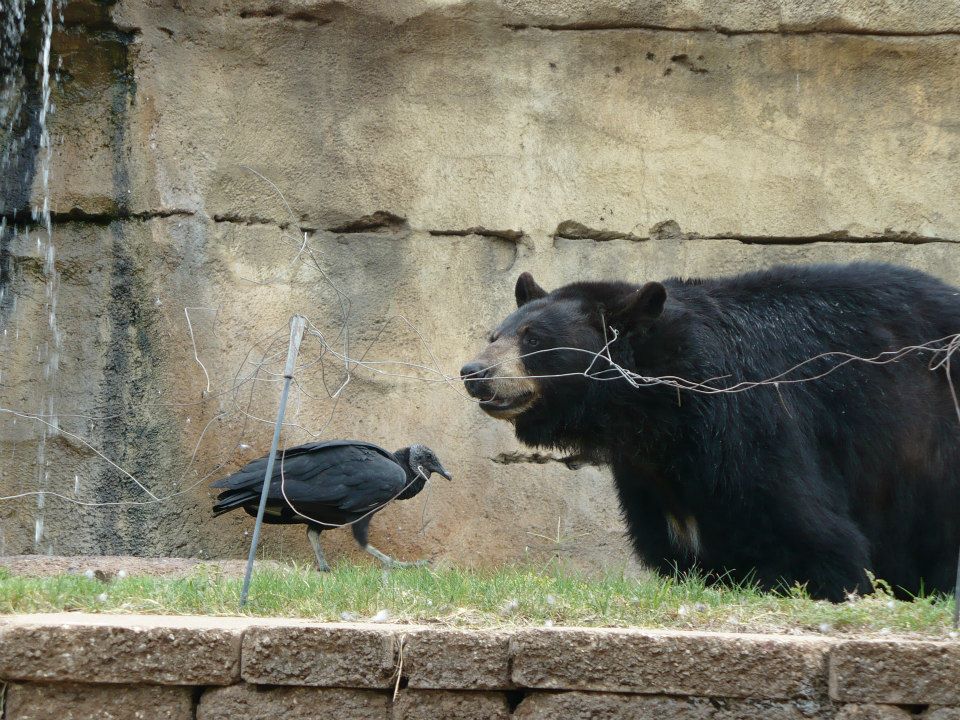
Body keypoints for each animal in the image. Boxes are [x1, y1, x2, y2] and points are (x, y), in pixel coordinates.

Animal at [460, 262, 960, 601]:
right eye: (495, 336)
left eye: (533, 339)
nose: (473, 372)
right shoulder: (650, 473)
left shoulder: (749, 421)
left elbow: (810, 533)